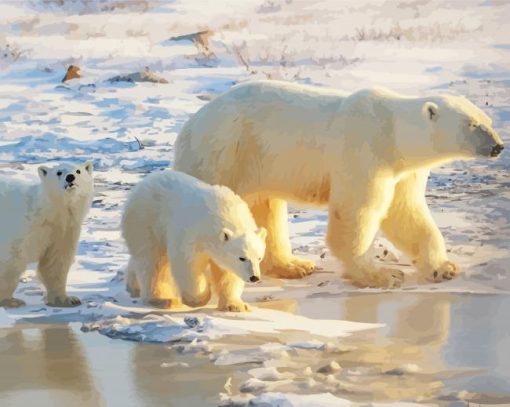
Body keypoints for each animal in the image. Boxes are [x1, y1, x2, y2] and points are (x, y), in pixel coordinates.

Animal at [173, 80, 504, 290]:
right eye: (473, 125)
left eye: (488, 120)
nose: (498, 146)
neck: (393, 131)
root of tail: (189, 125)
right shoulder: (364, 150)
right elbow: (357, 212)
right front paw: (383, 276)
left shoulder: (404, 171)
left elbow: (407, 214)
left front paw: (444, 268)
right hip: (223, 153)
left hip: (256, 165)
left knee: (265, 208)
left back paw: (294, 266)